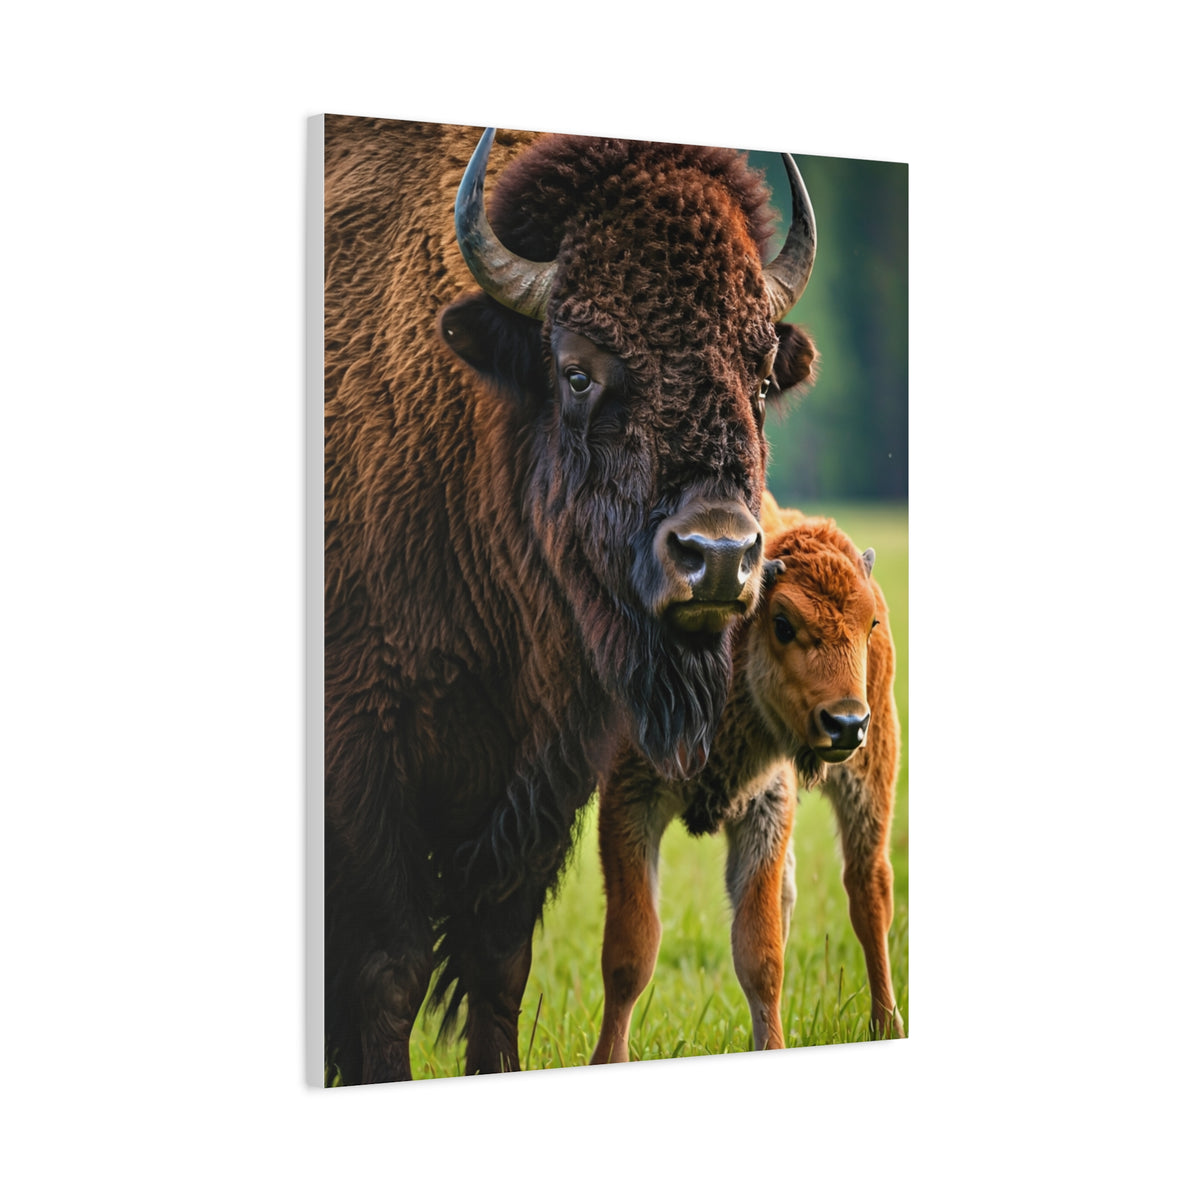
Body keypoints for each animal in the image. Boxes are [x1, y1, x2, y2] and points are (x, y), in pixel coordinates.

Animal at [323, 117, 820, 1083]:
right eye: (578, 372)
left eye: (759, 374)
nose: (718, 557)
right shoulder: (365, 760)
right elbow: (389, 967)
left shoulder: (544, 776)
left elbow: (498, 960)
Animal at [591, 503, 903, 1065]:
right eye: (782, 623)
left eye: (868, 624)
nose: (847, 723)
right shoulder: (630, 798)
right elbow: (631, 950)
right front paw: (607, 1058)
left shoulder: (765, 805)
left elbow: (760, 956)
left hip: (872, 772)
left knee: (868, 890)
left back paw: (887, 1024)